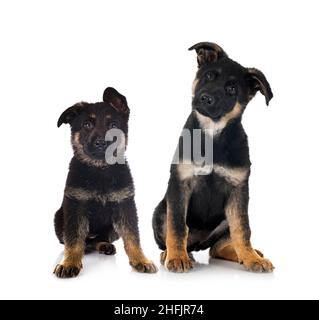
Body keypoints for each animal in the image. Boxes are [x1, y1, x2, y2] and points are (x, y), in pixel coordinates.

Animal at [54, 87, 158, 278]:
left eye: (113, 126)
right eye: (87, 125)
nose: (102, 143)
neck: (100, 170)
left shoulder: (125, 205)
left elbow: (132, 236)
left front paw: (140, 260)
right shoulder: (75, 207)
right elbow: (74, 239)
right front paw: (69, 262)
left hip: (113, 228)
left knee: (99, 239)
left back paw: (104, 245)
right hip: (59, 218)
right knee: (82, 241)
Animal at [152, 42, 276, 272]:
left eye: (232, 89)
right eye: (209, 76)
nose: (206, 98)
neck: (212, 134)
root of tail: (198, 243)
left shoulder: (238, 191)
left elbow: (242, 230)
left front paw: (252, 258)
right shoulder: (179, 184)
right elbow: (177, 226)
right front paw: (176, 257)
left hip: (225, 219)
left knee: (218, 248)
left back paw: (245, 254)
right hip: (161, 211)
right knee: (177, 235)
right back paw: (172, 254)